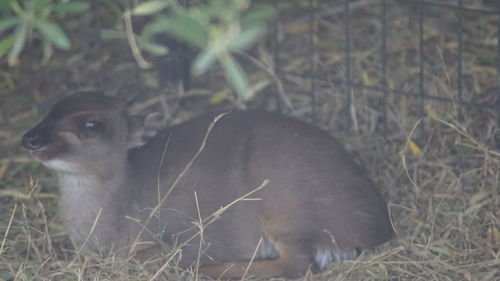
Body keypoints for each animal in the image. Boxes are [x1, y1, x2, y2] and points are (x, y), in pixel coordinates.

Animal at [22, 92, 390, 278]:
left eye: (91, 124)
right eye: (51, 109)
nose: (30, 138)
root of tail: (373, 226)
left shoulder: (182, 233)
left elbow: (149, 258)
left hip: (286, 206)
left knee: (298, 264)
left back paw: (210, 269)